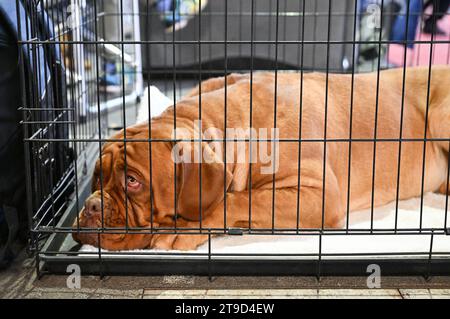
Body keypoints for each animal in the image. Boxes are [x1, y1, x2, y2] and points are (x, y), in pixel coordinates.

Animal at [74, 67, 450, 252]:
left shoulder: (316, 194)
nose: (91, 205)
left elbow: (236, 200)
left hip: (440, 116)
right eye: (97, 177)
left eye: (133, 181)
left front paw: (184, 229)